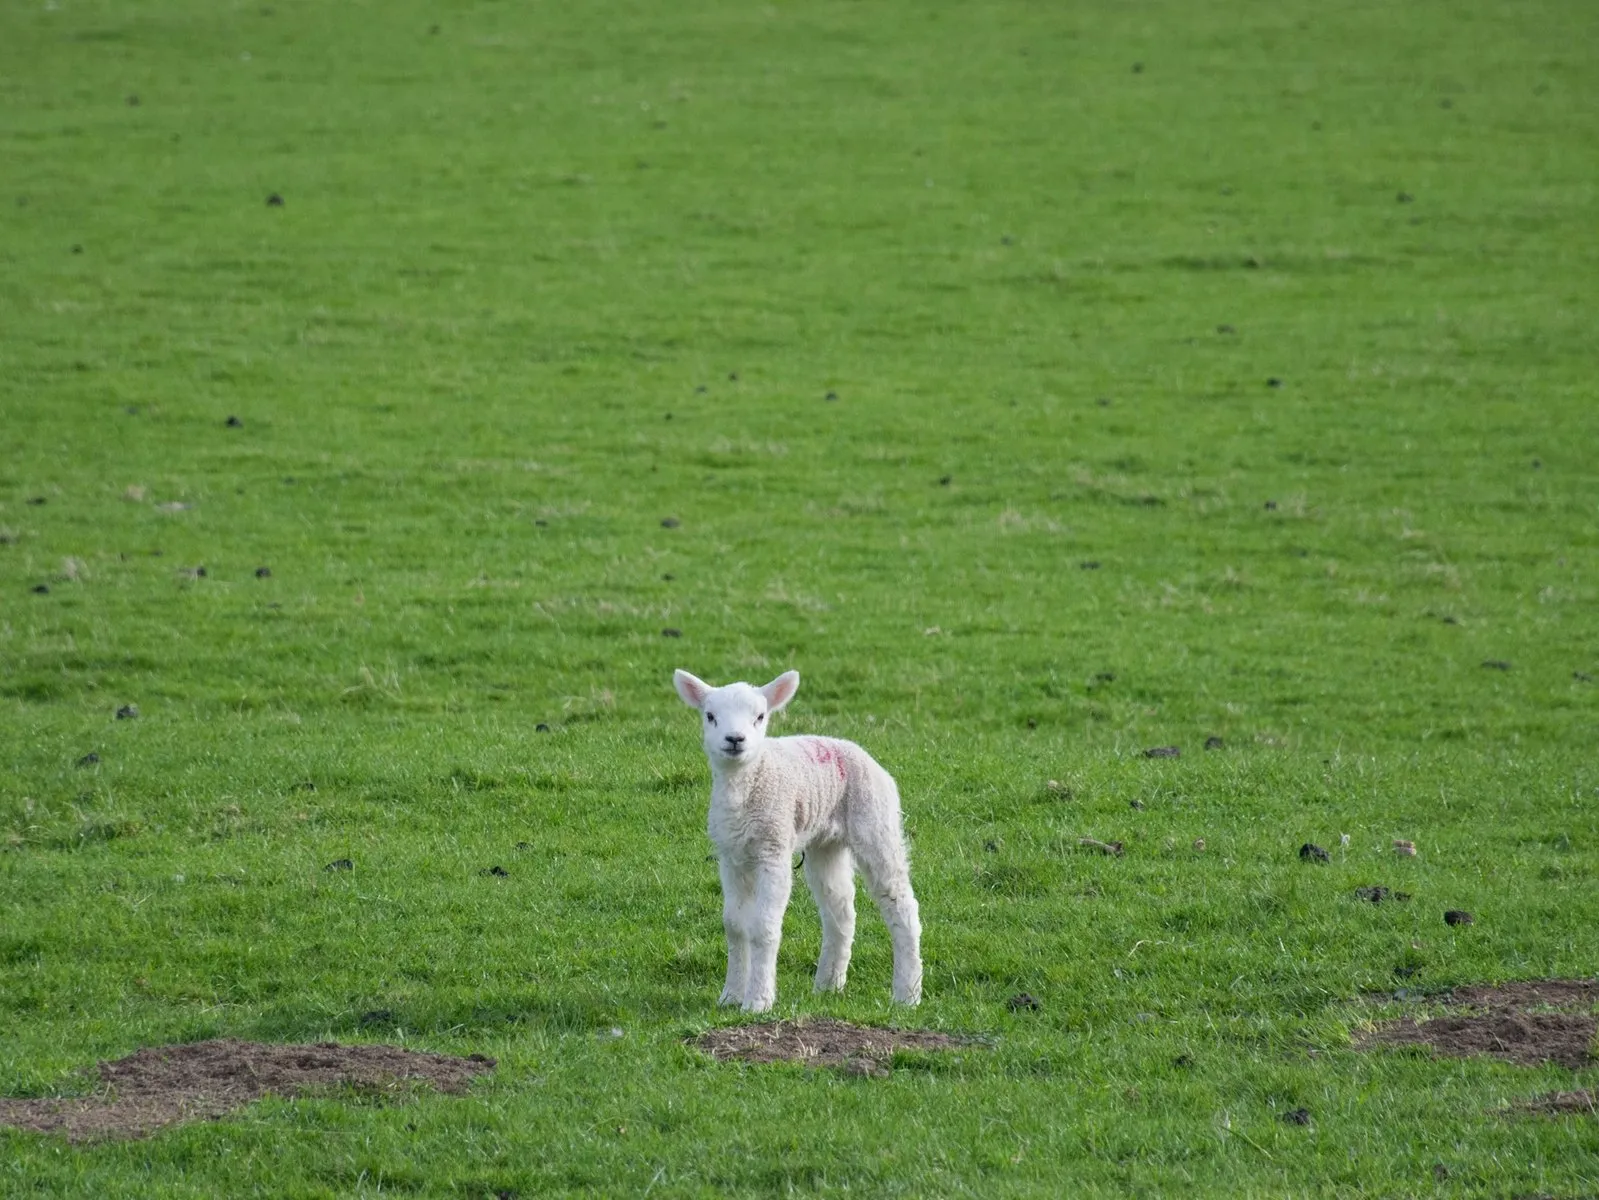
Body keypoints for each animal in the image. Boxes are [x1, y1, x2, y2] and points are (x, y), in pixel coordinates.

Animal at [672, 668, 922, 1012]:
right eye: (710, 716)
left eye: (760, 717)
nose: (735, 739)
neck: (747, 785)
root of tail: (857, 750)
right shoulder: (730, 856)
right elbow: (734, 925)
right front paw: (730, 996)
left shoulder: (773, 849)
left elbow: (763, 928)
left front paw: (757, 1001)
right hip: (825, 844)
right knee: (840, 911)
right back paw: (829, 985)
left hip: (876, 820)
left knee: (900, 904)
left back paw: (907, 994)